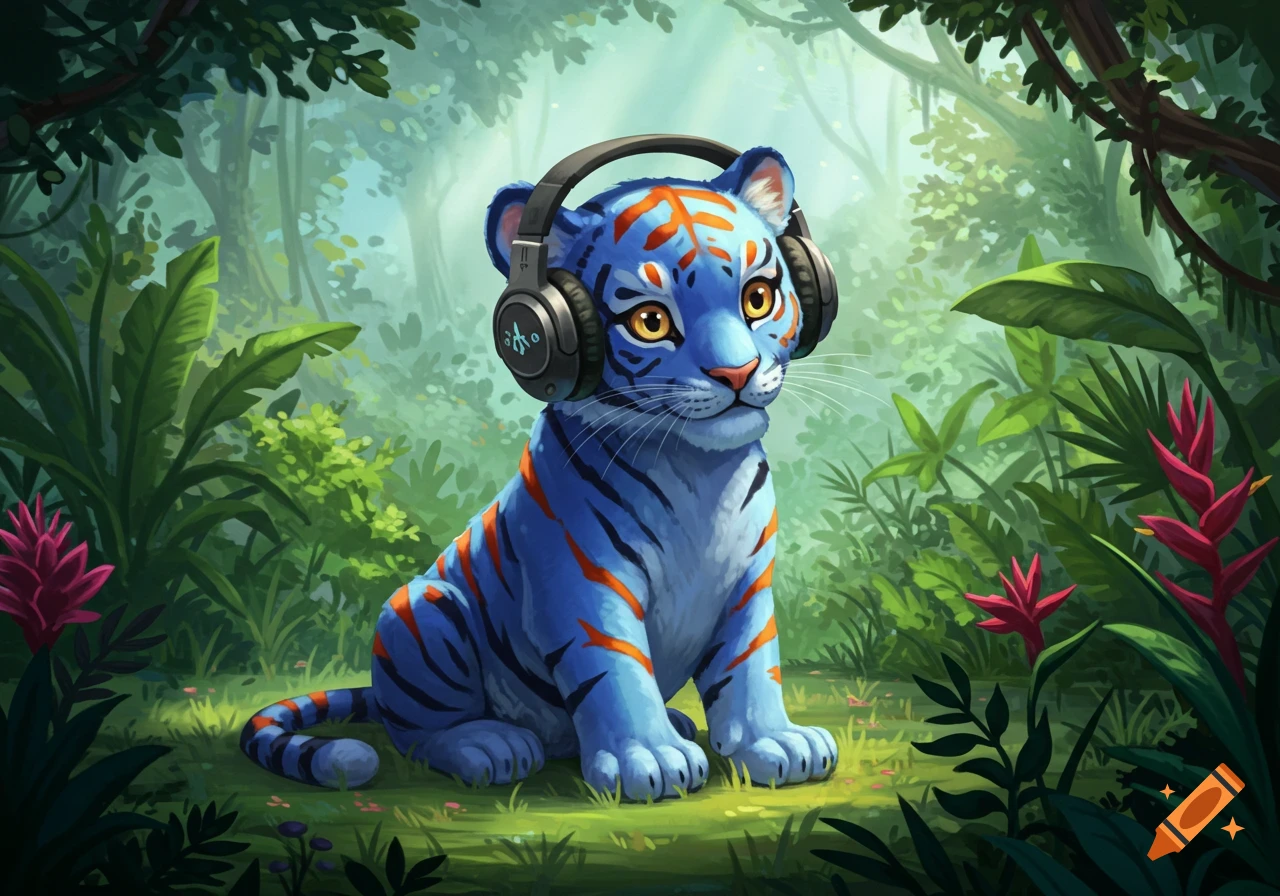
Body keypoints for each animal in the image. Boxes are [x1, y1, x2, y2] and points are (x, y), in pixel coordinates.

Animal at [240, 146, 838, 800]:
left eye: (757, 298)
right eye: (651, 322)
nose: (736, 373)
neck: (699, 469)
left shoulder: (746, 585)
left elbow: (751, 666)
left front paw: (775, 743)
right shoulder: (584, 583)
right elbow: (618, 671)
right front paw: (649, 760)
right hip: (423, 609)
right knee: (419, 734)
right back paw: (490, 746)